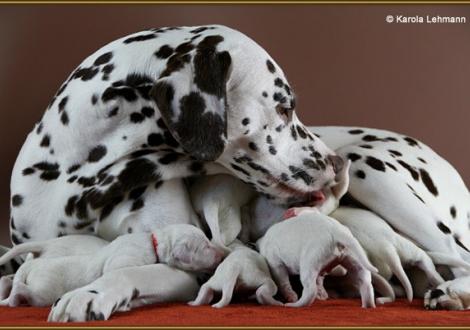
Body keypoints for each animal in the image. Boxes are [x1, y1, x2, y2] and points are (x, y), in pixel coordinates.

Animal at [0, 224, 224, 306]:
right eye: (205, 246)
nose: (223, 254)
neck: (154, 243)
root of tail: (46, 244)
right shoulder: (123, 261)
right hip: (45, 291)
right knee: (24, 290)